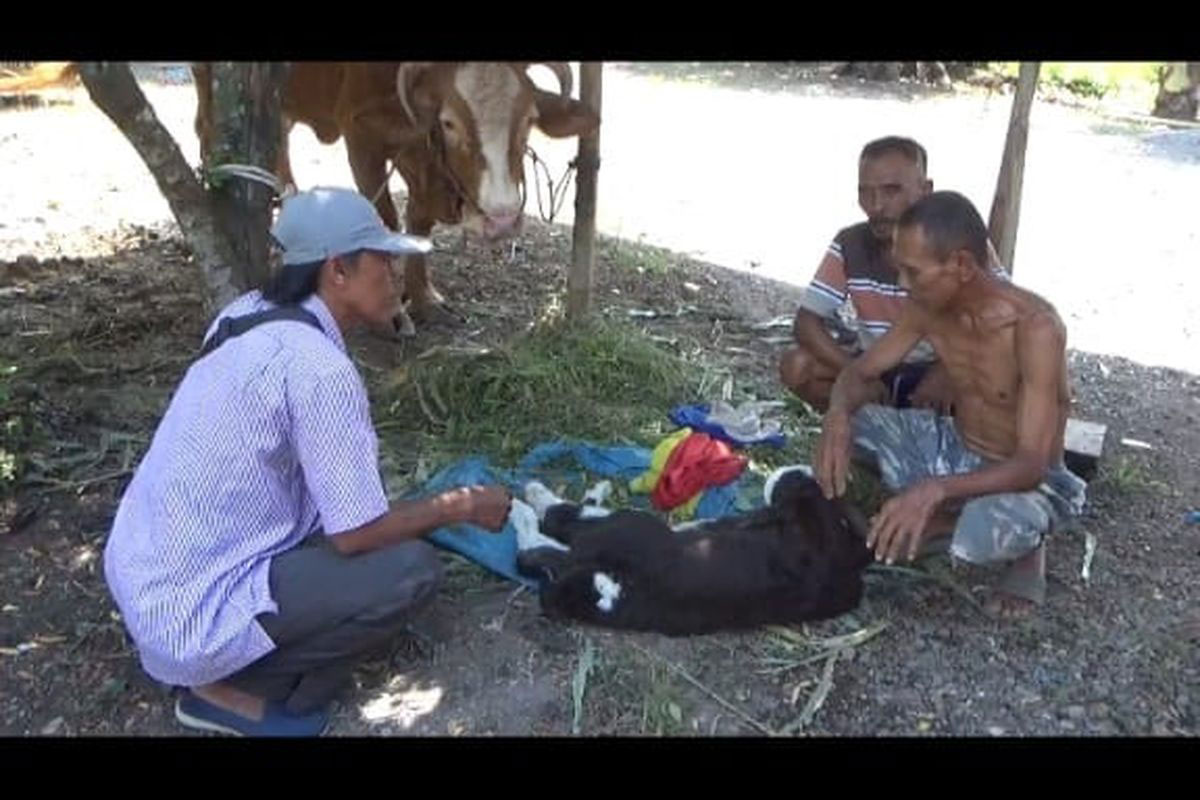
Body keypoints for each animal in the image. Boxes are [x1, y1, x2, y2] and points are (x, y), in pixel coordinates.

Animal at [194, 61, 600, 331]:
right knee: (209, 127)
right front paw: (392, 308)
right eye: (449, 122)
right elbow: (383, 218)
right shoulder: (362, 135)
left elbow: (418, 222)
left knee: (278, 129)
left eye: (529, 120)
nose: (501, 219)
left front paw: (422, 297)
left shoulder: (414, 149)